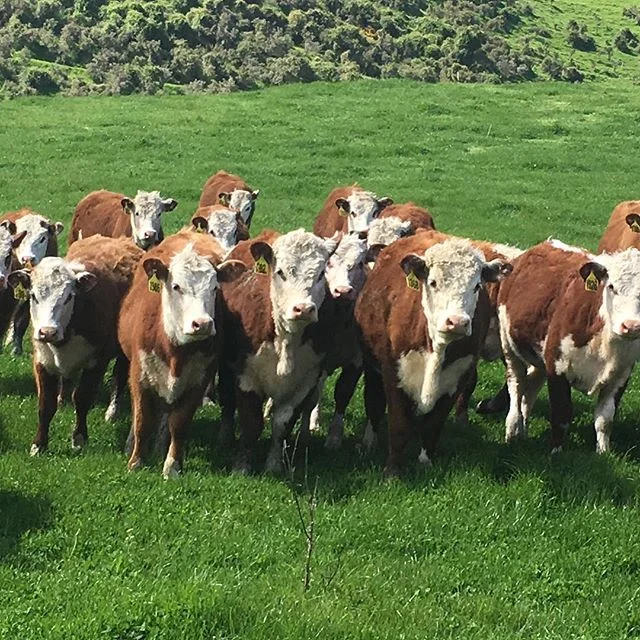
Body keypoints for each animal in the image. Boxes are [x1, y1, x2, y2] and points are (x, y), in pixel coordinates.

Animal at [7, 235, 143, 455]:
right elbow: (45, 404)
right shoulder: (42, 360)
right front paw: (39, 444)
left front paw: (79, 438)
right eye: (33, 295)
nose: (47, 332)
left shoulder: (97, 361)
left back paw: (111, 411)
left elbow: (82, 397)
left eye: (68, 296)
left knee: (119, 378)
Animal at [119, 229, 244, 478]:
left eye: (215, 288)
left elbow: (179, 423)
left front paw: (172, 465)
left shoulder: (198, 380)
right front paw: (136, 461)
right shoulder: (139, 374)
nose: (202, 324)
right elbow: (142, 420)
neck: (175, 350)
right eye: (176, 286)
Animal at [218, 229, 339, 475]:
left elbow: (282, 424)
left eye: (321, 273)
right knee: (227, 398)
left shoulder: (305, 382)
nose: (303, 309)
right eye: (280, 272)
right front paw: (242, 466)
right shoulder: (246, 377)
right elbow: (251, 422)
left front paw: (273, 465)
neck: (286, 340)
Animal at [355, 234, 512, 476]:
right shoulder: (393, 372)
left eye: (477, 286)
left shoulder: (457, 378)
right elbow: (398, 423)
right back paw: (369, 440)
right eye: (433, 282)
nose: (457, 322)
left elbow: (434, 423)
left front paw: (425, 461)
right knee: (373, 401)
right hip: (372, 367)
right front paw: (392, 472)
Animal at [498, 239, 640, 454]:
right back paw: (513, 430)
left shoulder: (620, 375)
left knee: (529, 392)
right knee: (516, 387)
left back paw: (523, 431)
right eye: (611, 287)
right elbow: (561, 415)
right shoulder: (557, 368)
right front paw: (555, 452)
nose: (631, 326)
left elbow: (605, 419)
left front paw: (603, 452)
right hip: (510, 348)